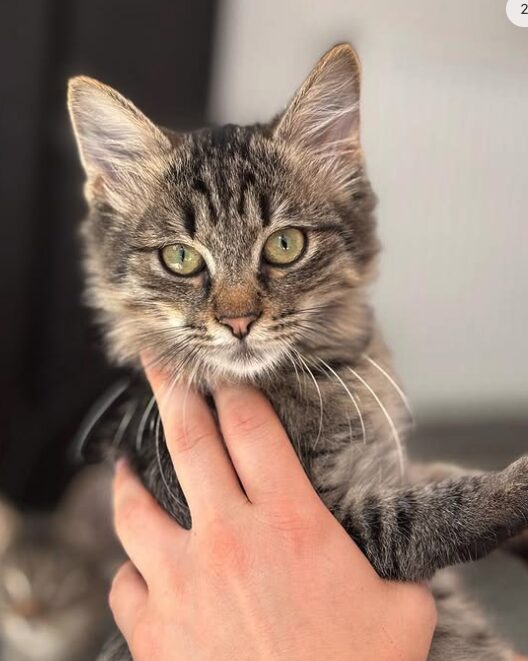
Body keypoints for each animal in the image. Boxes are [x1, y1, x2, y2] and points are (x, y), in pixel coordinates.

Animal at [67, 43, 528, 656]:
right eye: (180, 258)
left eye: (284, 245)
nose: (237, 321)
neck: (330, 372)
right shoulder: (344, 528)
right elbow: (434, 510)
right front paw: (519, 486)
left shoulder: (391, 465)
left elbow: (440, 471)